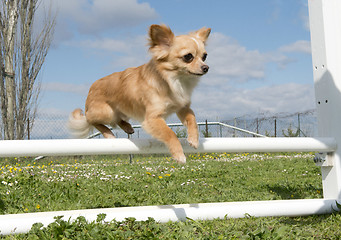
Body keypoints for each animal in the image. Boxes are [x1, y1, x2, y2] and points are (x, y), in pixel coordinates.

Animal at [68, 24, 210, 163]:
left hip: (123, 109)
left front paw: (194, 139)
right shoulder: (152, 119)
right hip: (106, 112)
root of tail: (91, 88)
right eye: (188, 56)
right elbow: (170, 133)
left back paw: (127, 127)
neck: (175, 80)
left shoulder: (182, 108)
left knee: (117, 119)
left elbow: (192, 119)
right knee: (90, 120)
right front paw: (179, 155)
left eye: (204, 56)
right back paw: (108, 133)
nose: (206, 67)